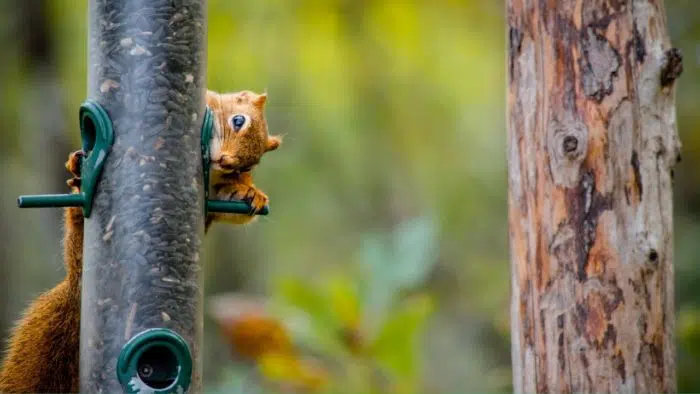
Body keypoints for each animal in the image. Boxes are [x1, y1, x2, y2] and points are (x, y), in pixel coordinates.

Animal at [1, 90, 284, 394]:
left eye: (249, 164)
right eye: (238, 120)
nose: (229, 163)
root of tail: (78, 287)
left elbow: (229, 203)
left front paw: (250, 193)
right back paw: (77, 184)